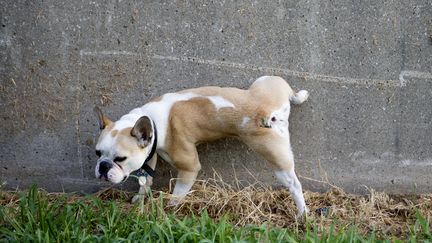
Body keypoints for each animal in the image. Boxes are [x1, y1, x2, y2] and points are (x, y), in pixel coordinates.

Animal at [95, 76, 310, 216]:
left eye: (120, 159)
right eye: (98, 153)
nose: (103, 166)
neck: (152, 121)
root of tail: (268, 111)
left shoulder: (189, 167)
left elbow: (178, 193)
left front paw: (169, 209)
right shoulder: (150, 155)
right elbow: (146, 179)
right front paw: (140, 197)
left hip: (274, 156)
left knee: (293, 184)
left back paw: (302, 213)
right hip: (267, 80)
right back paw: (301, 95)